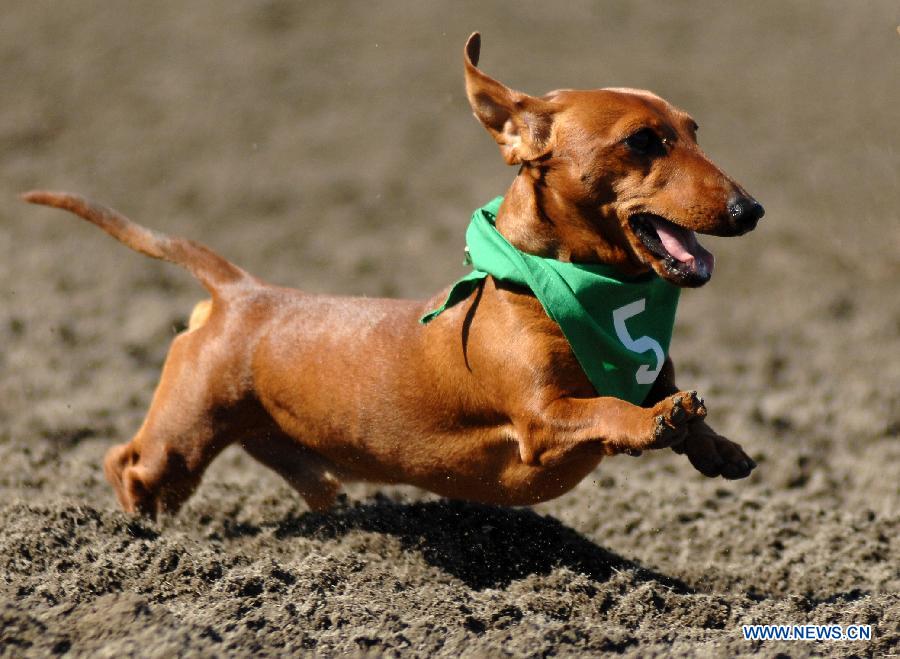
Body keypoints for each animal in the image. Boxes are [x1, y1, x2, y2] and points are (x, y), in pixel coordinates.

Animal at [24, 33, 764, 520]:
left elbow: (667, 392)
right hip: (182, 434)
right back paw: (135, 533)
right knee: (124, 462)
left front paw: (715, 444)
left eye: (694, 130)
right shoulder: (542, 421)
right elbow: (608, 408)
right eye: (642, 140)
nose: (749, 210)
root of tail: (240, 290)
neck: (551, 288)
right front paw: (655, 420)